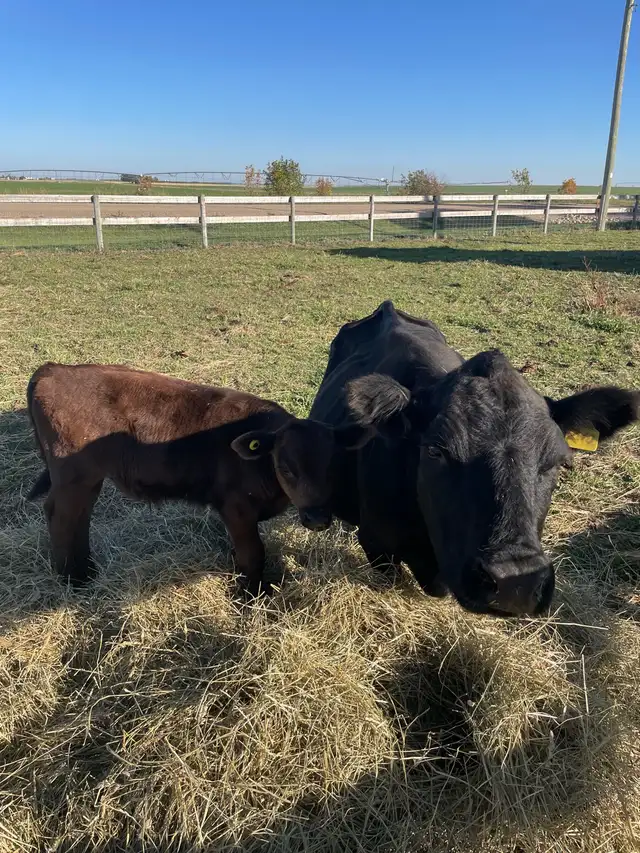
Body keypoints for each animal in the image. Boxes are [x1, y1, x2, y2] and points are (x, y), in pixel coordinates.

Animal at [27, 363, 370, 594]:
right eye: (285, 467)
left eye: (333, 465)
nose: (317, 518)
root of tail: (54, 369)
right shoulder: (235, 508)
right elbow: (254, 553)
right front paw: (252, 596)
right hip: (76, 476)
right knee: (62, 516)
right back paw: (75, 578)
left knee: (77, 516)